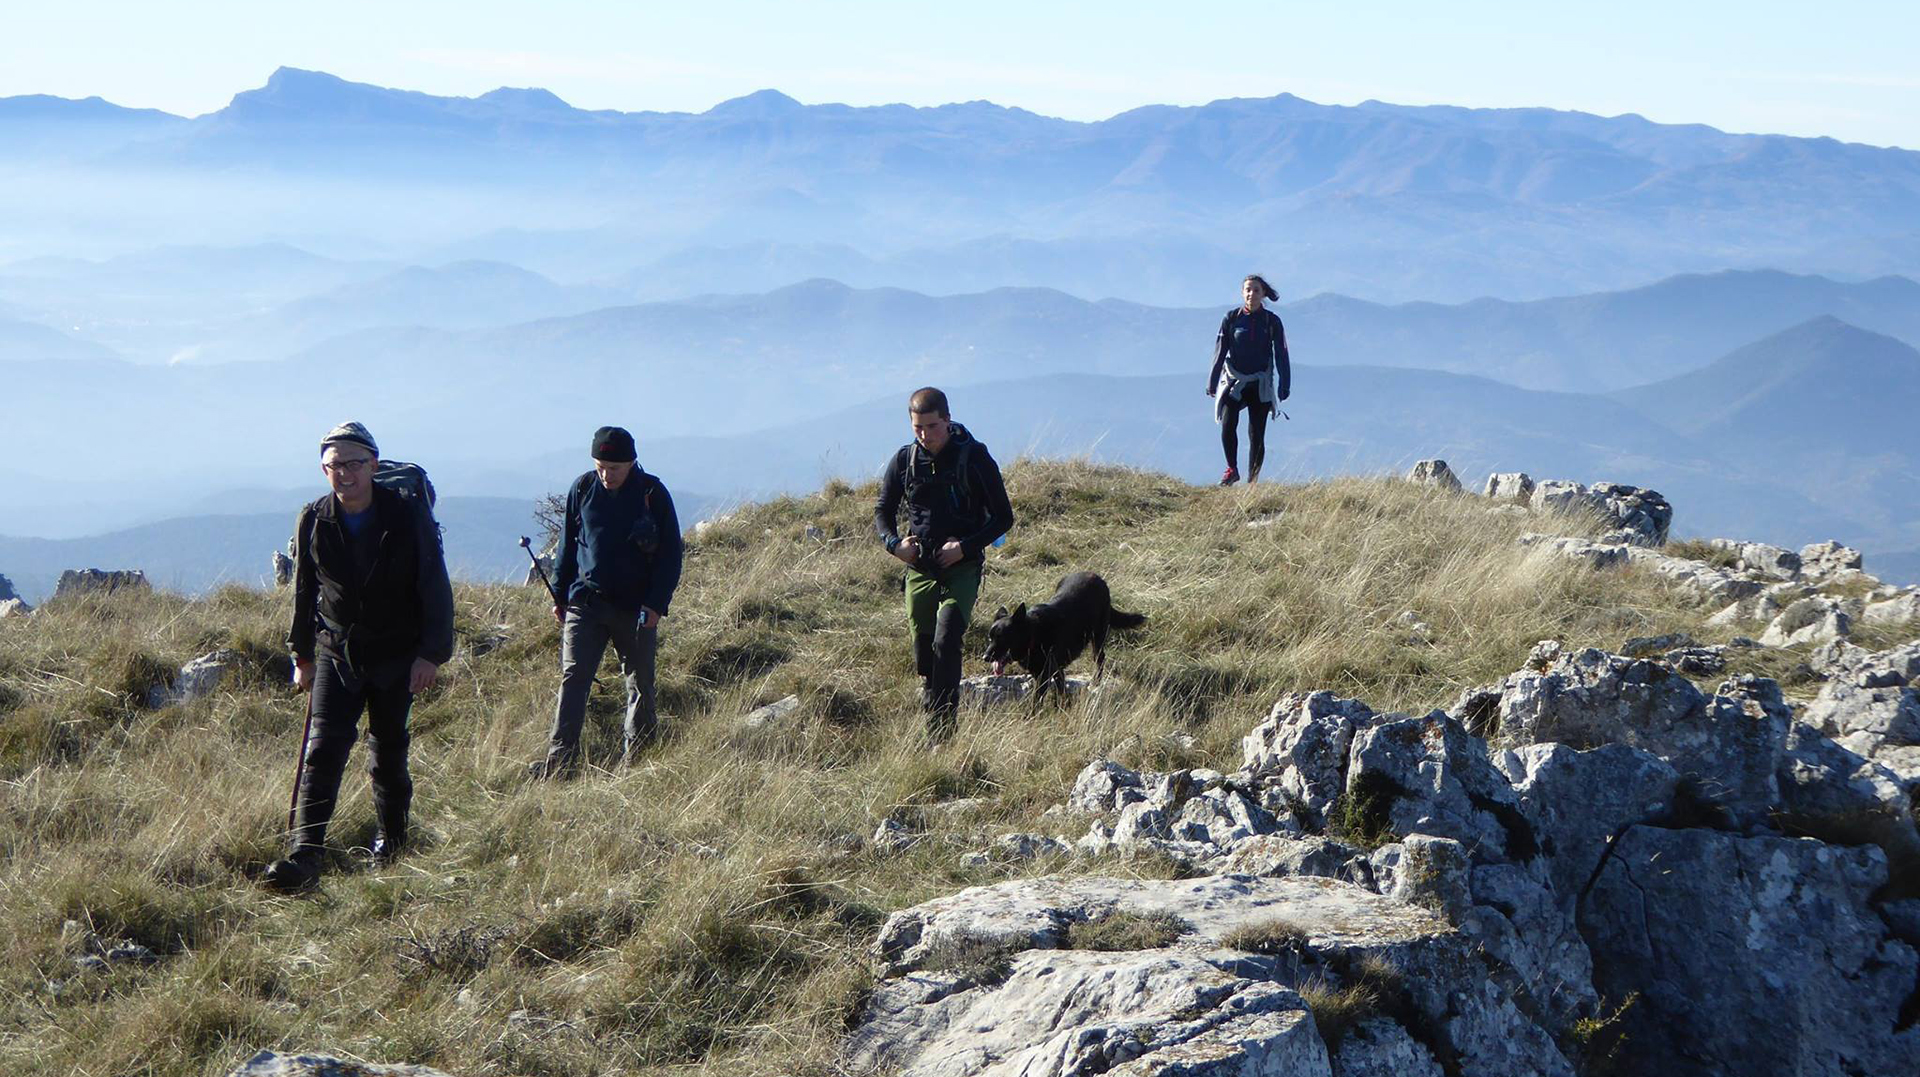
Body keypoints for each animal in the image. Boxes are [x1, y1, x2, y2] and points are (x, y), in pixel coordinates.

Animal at [990, 572, 1136, 698]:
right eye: (990, 638)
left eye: (1002, 637)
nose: (986, 657)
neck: (1033, 634)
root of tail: (1097, 577)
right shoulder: (1054, 671)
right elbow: (1061, 689)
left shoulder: (1043, 678)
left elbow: (1036, 704)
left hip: (1098, 637)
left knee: (1100, 659)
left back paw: (1096, 682)